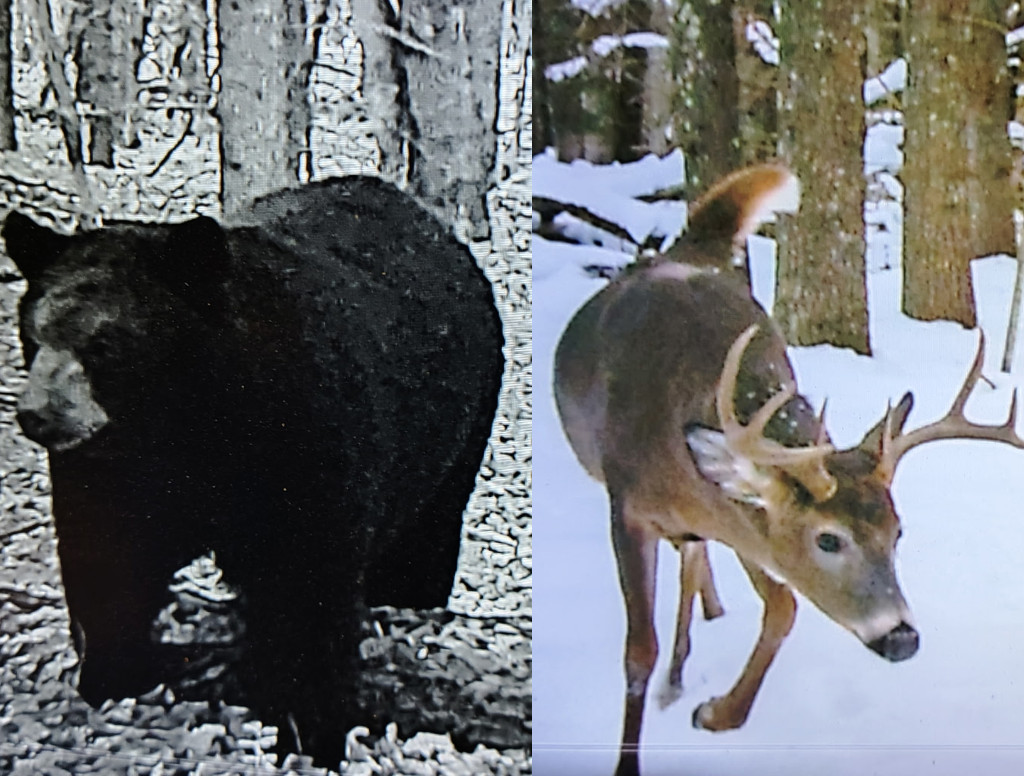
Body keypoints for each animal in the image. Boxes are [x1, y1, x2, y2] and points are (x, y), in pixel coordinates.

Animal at [1, 176, 504, 766]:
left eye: (105, 343)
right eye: (32, 333)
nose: (37, 414)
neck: (186, 422)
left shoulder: (305, 438)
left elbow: (307, 583)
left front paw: (311, 731)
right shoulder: (115, 470)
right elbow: (109, 555)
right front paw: (110, 677)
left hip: (453, 432)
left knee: (424, 541)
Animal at [552, 164, 1024, 776]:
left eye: (898, 533)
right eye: (828, 539)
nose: (901, 638)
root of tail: (688, 247)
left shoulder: (750, 523)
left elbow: (784, 606)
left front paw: (717, 713)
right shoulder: (626, 505)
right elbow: (638, 651)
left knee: (705, 560)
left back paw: (688, 659)